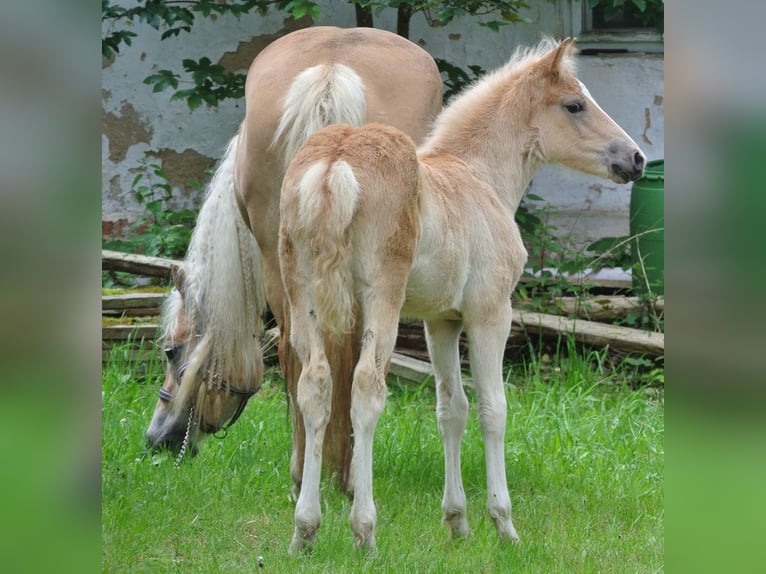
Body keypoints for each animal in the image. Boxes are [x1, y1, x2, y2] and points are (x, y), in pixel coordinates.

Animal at [280, 38, 644, 556]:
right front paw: (503, 524)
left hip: (302, 296)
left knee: (314, 387)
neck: (479, 178)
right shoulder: (490, 313)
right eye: (575, 105)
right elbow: (493, 409)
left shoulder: (441, 321)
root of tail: (336, 161)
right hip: (381, 300)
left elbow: (451, 410)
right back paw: (364, 531)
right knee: (366, 389)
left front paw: (457, 521)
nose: (636, 159)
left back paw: (305, 530)